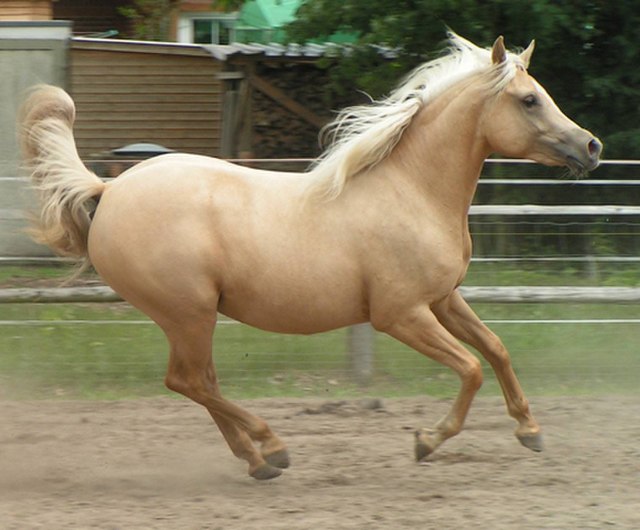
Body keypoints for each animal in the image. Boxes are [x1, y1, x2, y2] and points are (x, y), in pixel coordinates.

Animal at [18, 33, 600, 478]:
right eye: (528, 100)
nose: (591, 146)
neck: (412, 190)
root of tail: (109, 189)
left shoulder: (443, 300)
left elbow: (497, 350)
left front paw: (530, 430)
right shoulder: (400, 315)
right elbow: (472, 368)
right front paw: (427, 441)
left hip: (190, 318)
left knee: (199, 382)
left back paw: (258, 461)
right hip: (188, 313)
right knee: (188, 381)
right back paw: (272, 447)